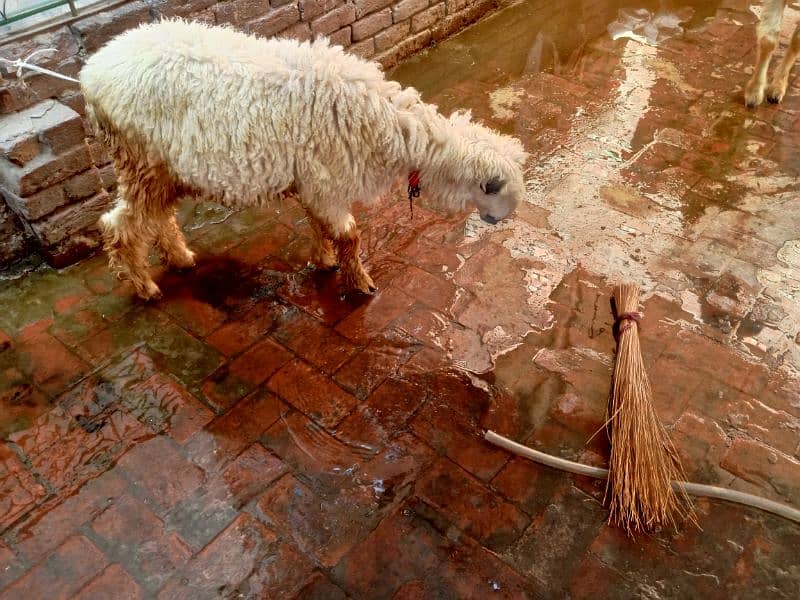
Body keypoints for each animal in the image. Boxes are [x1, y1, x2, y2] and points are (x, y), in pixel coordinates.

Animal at [81, 19, 528, 300]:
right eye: (496, 190)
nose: (498, 220)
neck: (389, 125)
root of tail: (90, 75)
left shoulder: (314, 179)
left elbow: (319, 223)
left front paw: (325, 260)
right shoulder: (327, 178)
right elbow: (349, 235)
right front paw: (360, 282)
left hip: (162, 169)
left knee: (156, 219)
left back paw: (180, 259)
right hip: (140, 160)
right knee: (120, 226)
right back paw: (144, 287)